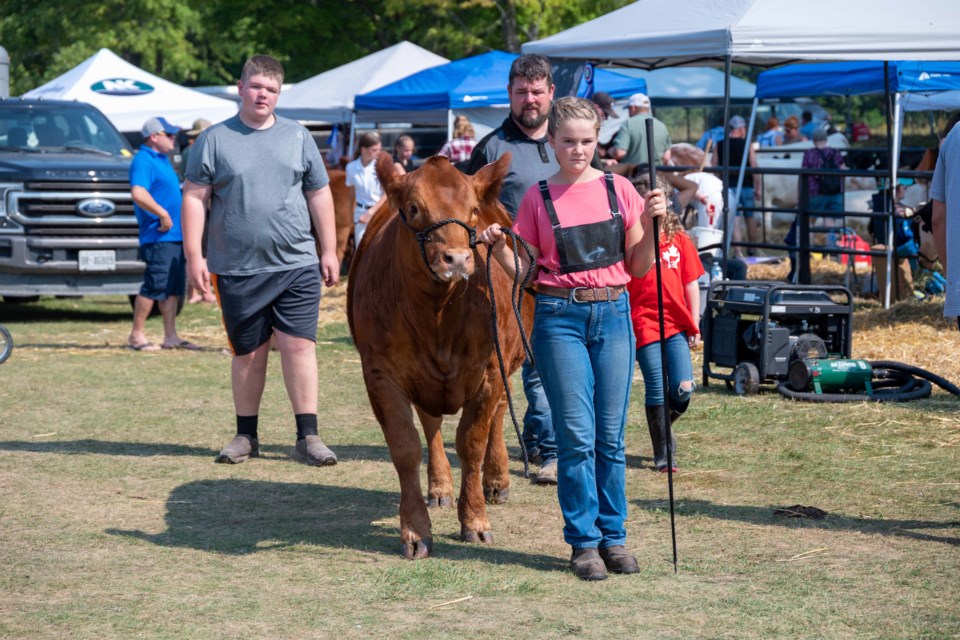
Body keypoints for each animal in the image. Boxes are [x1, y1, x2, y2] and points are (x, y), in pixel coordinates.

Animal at [348, 152, 536, 556]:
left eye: (473, 210)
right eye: (414, 208)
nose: (458, 259)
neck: (436, 314)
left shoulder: (490, 370)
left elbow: (472, 442)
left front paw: (476, 520)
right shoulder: (380, 375)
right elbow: (405, 447)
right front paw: (415, 530)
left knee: (499, 414)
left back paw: (496, 480)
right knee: (431, 423)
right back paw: (439, 488)